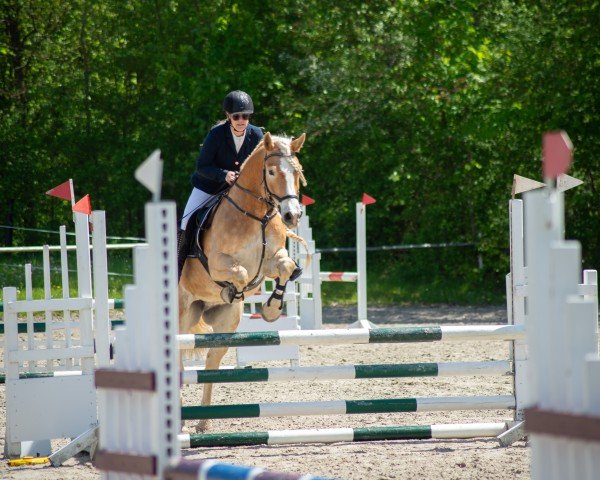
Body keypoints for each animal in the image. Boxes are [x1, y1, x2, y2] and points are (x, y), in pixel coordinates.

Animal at [177, 131, 310, 432]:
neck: (256, 215)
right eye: (271, 171)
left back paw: (202, 423)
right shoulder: (217, 264)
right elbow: (240, 274)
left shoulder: (272, 260)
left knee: (211, 362)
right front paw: (233, 292)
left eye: (297, 171)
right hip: (179, 315)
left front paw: (271, 309)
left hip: (223, 325)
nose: (292, 216)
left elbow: (285, 267)